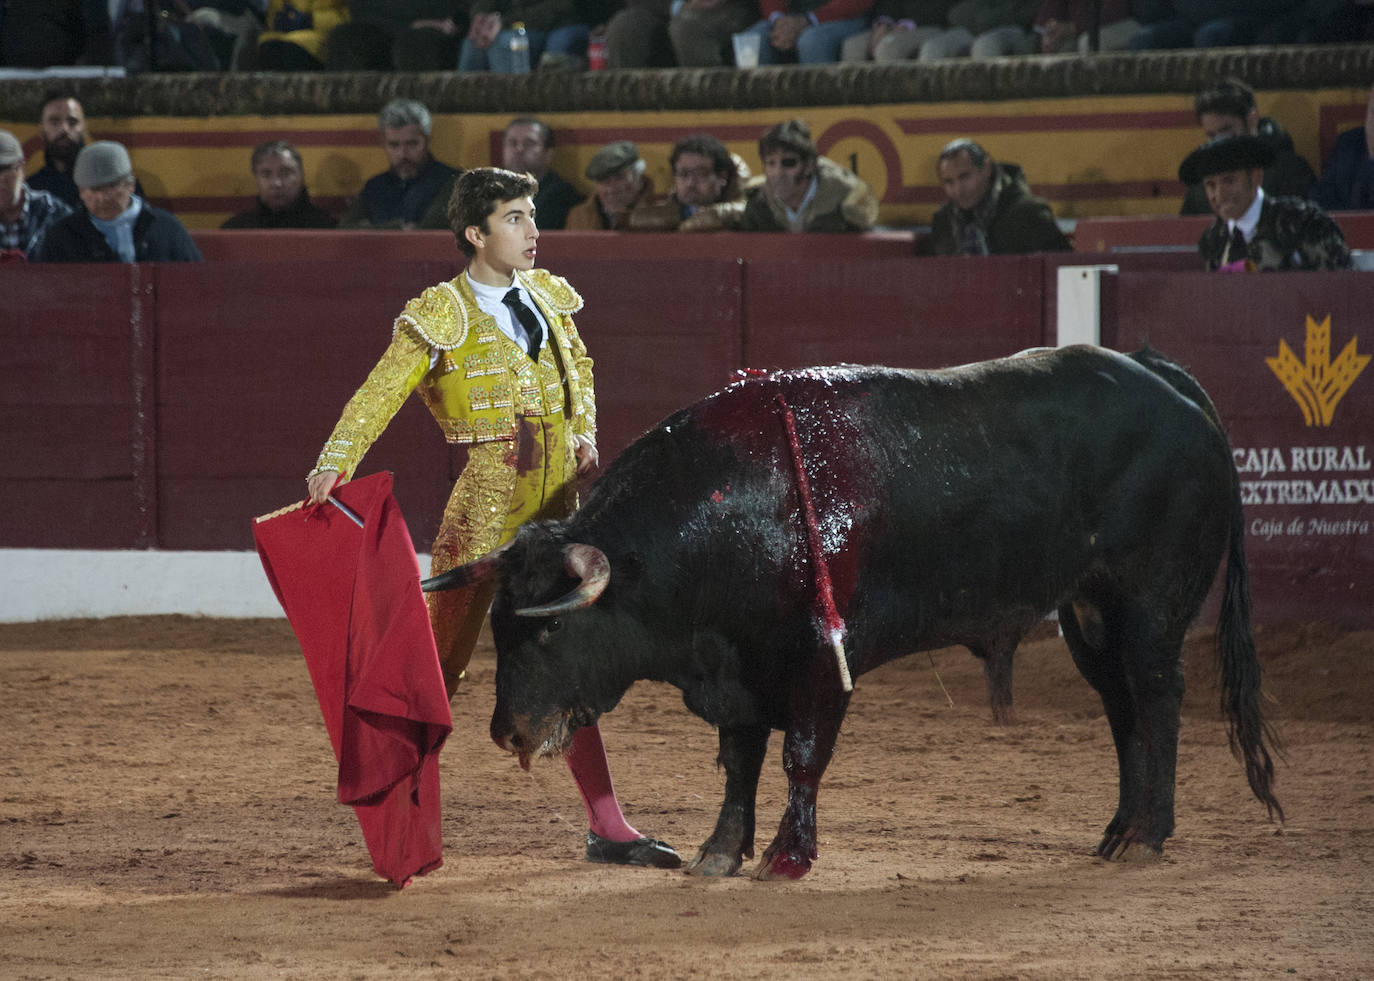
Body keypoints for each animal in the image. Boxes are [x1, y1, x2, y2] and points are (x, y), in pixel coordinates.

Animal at [423, 346, 1280, 879]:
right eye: (499, 626)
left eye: (551, 625)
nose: (507, 731)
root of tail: (1162, 378)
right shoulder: (737, 664)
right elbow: (741, 761)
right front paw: (719, 852)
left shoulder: (818, 659)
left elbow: (802, 755)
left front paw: (787, 857)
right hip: (1090, 610)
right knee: (1121, 706)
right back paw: (1118, 831)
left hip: (1150, 602)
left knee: (1159, 697)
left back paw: (1150, 836)